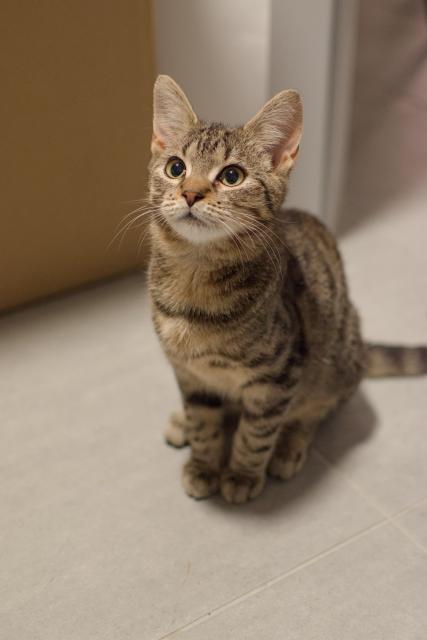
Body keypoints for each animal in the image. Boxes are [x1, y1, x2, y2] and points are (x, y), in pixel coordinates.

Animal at [146, 76, 424, 504]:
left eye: (231, 176)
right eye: (176, 168)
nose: (191, 193)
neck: (193, 279)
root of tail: (360, 348)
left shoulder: (277, 376)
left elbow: (256, 433)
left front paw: (241, 474)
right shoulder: (189, 373)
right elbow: (205, 422)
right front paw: (204, 463)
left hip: (332, 366)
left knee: (316, 410)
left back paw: (290, 446)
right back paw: (183, 424)